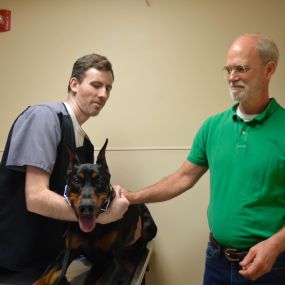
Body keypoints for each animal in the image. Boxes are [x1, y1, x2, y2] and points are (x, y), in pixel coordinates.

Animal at [34, 139, 158, 282]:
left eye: (99, 179)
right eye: (76, 180)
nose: (86, 208)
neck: (94, 230)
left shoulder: (115, 263)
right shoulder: (67, 252)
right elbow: (46, 276)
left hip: (149, 226)